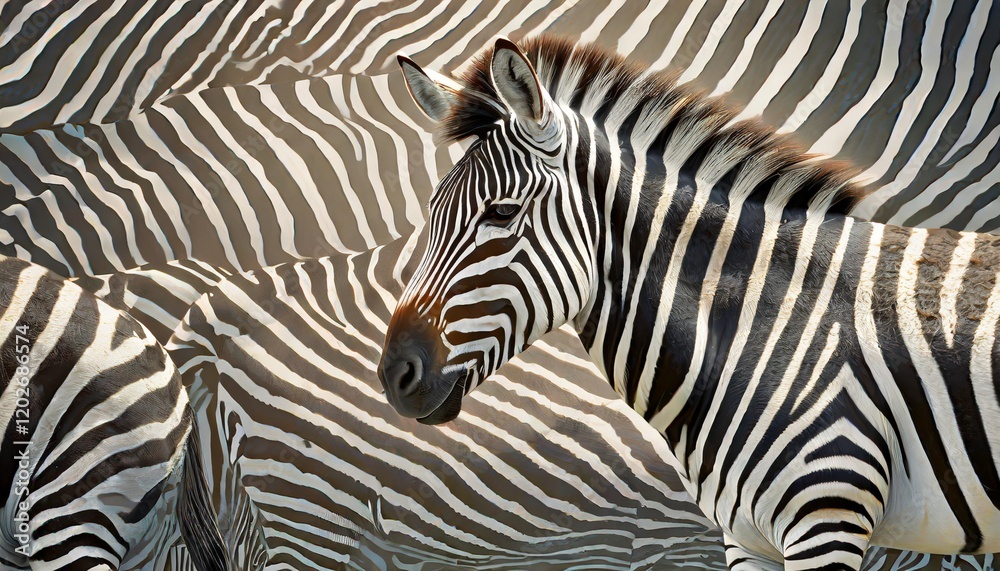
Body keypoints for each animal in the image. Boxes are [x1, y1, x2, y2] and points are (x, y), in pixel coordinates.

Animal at [379, 36, 1000, 569]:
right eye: (432, 212)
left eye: (502, 213)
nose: (394, 375)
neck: (754, 325)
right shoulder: (747, 538)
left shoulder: (828, 514)